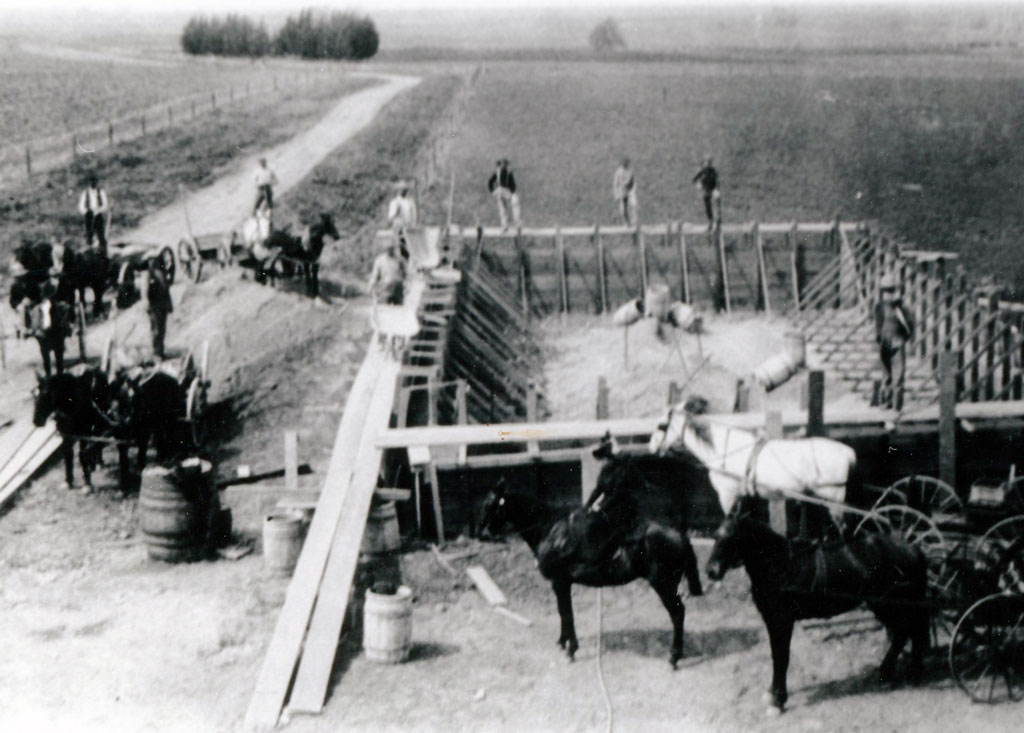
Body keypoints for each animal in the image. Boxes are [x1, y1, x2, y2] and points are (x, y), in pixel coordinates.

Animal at [477, 452, 704, 671]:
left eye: (489, 505)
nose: (481, 533)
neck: (550, 529)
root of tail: (679, 534)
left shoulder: (561, 582)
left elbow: (567, 614)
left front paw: (571, 650)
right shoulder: (559, 584)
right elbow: (562, 612)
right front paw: (562, 642)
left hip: (663, 584)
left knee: (677, 613)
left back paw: (673, 657)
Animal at [647, 397, 856, 518]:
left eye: (661, 425)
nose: (651, 447)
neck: (724, 450)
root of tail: (846, 451)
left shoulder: (727, 495)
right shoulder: (744, 498)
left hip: (834, 500)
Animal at [708, 495, 933, 712]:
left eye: (732, 537)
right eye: (716, 536)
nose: (711, 571)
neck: (779, 565)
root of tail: (913, 548)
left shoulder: (782, 620)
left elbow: (782, 656)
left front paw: (778, 700)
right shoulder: (772, 620)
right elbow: (775, 655)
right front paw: (773, 693)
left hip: (891, 605)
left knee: (908, 632)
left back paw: (905, 673)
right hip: (887, 606)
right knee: (907, 633)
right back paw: (892, 672)